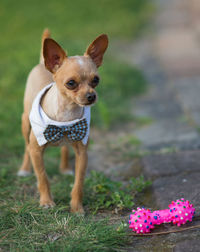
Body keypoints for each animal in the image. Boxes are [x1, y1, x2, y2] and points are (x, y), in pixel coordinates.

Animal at [18, 29, 108, 213]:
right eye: (71, 83)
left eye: (96, 80)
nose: (91, 96)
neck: (66, 116)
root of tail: (42, 63)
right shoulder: (36, 151)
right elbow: (43, 177)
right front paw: (46, 202)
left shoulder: (82, 153)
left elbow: (79, 183)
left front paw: (77, 208)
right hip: (25, 123)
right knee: (26, 147)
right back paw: (24, 169)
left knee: (65, 148)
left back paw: (65, 168)